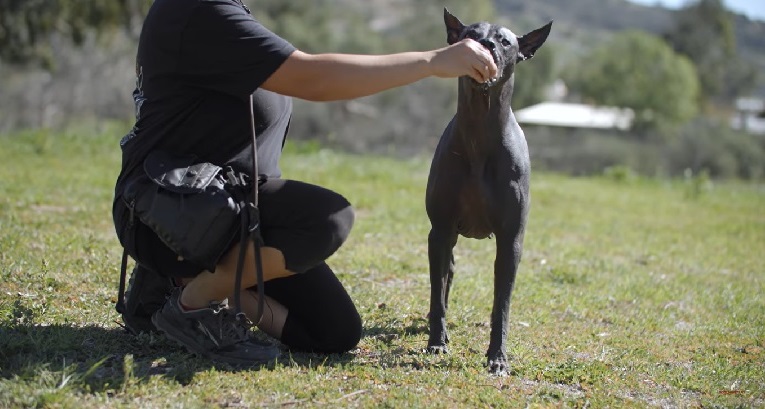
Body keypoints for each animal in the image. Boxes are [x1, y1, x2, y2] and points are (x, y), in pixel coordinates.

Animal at [424, 9, 548, 374]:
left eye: (505, 41)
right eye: (470, 34)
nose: (486, 45)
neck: (479, 134)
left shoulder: (511, 241)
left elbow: (501, 305)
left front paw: (498, 356)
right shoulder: (440, 230)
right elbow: (437, 294)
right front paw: (436, 342)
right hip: (445, 241)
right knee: (445, 279)